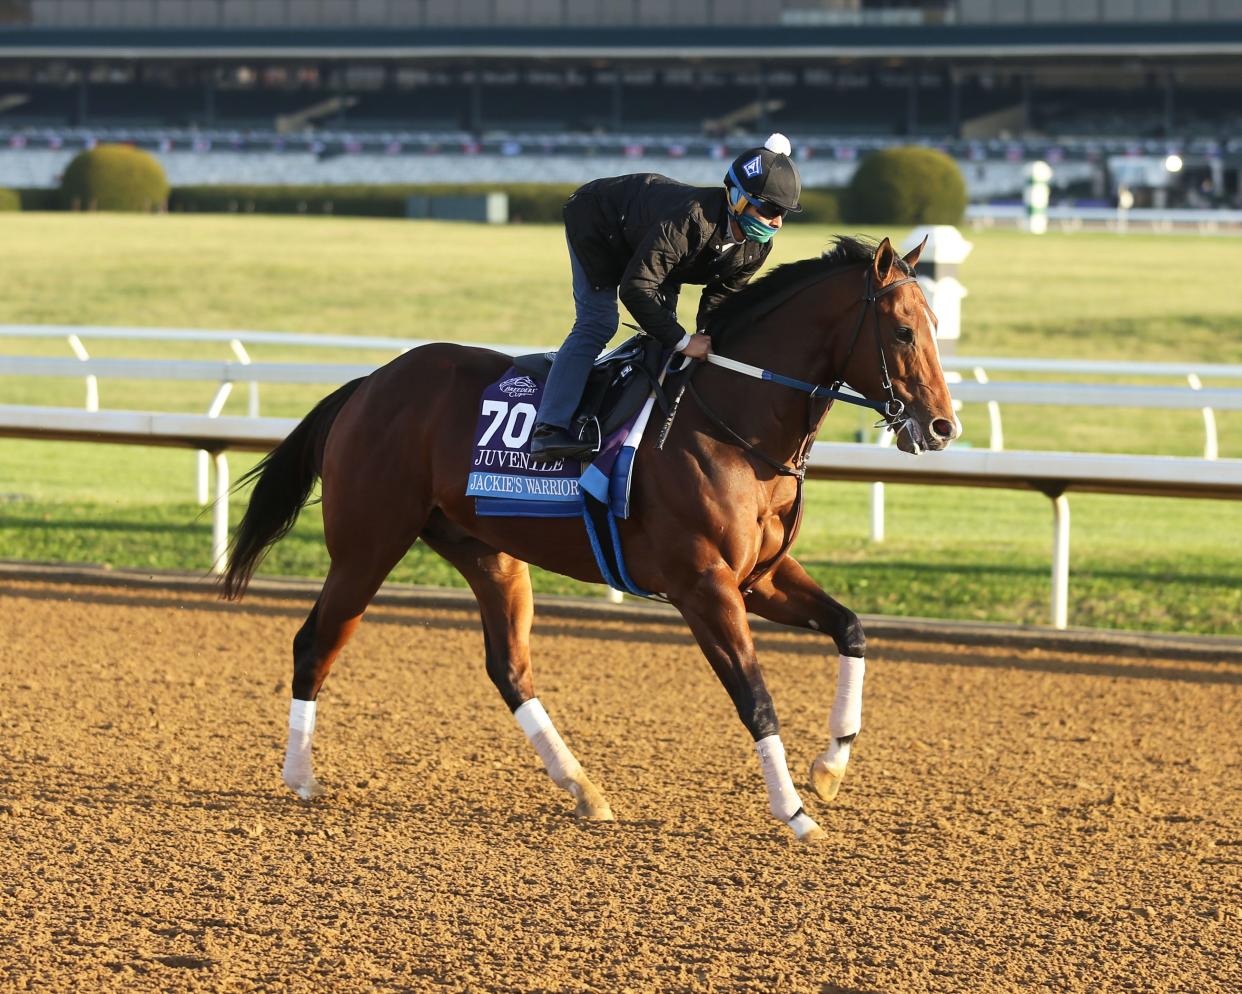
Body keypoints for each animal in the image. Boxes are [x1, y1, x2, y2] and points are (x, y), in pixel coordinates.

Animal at [226, 237, 958, 844]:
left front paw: (831, 766)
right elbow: (755, 697)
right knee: (314, 642)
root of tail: (369, 384)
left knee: (509, 668)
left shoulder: (761, 578)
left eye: (935, 325)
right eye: (902, 330)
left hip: (486, 552)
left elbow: (851, 628)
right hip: (368, 544)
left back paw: (582, 787)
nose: (941, 426)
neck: (731, 423)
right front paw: (796, 812)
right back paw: (301, 776)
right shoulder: (703, 586)